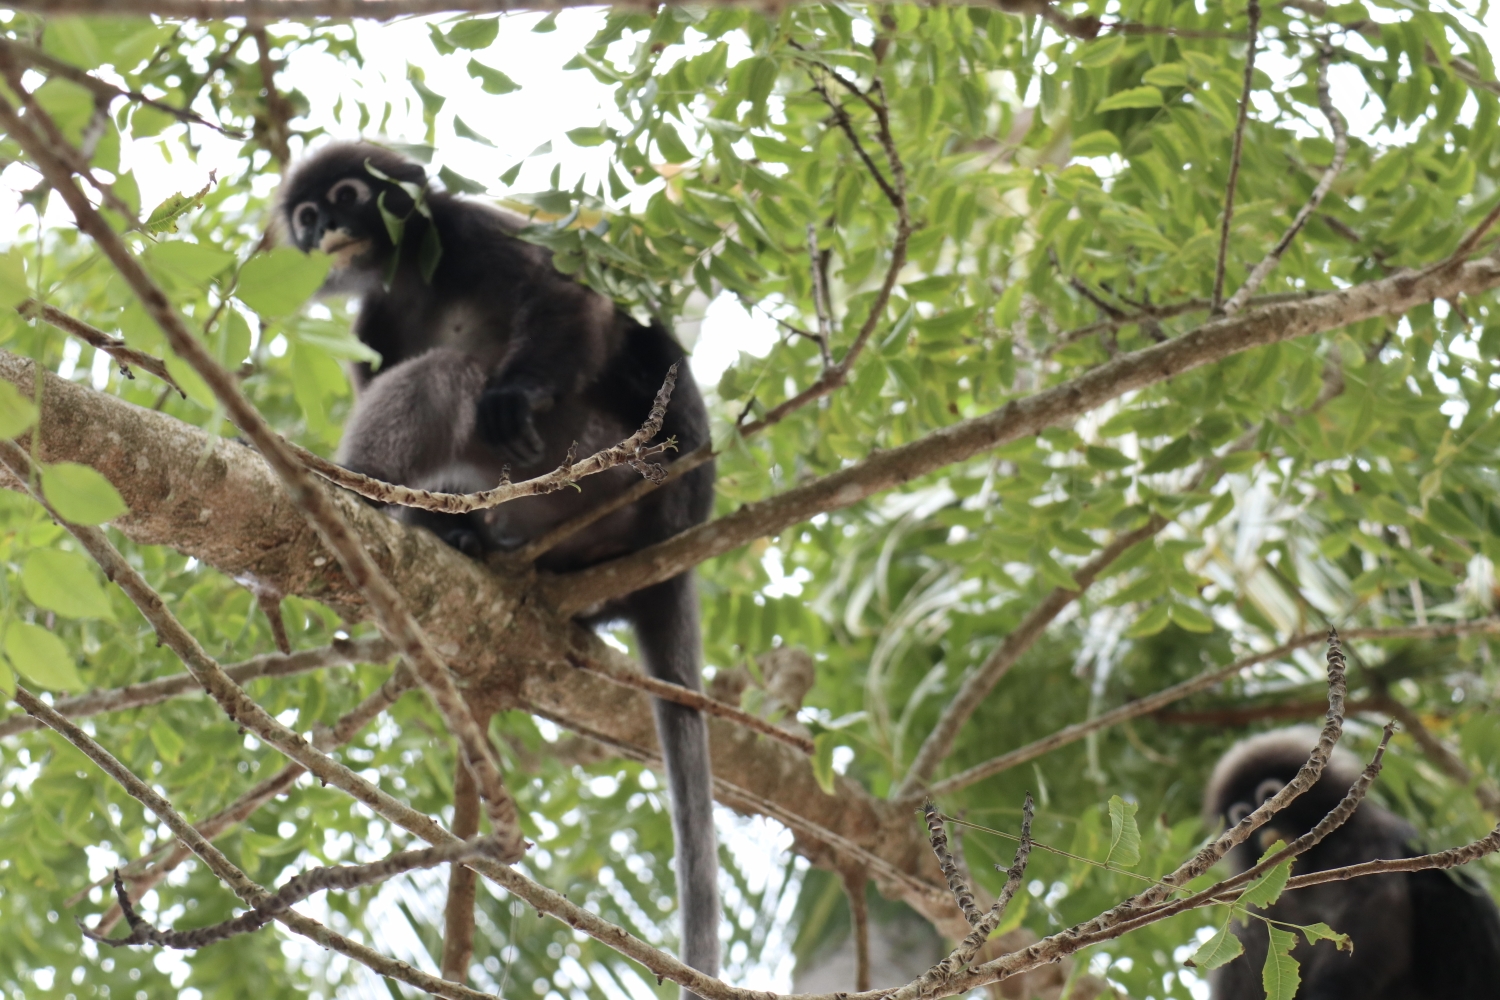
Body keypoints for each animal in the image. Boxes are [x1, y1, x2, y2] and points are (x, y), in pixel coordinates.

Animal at [282, 142, 726, 995]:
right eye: (307, 216)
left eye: (347, 196)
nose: (320, 234)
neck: (412, 272)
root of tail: (671, 552)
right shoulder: (372, 318)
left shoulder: (468, 229)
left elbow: (572, 298)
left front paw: (515, 389)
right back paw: (441, 530)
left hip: (602, 468)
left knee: (453, 373)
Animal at [1200, 728, 1500, 1000]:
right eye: (1241, 813)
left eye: (1270, 793)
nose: (1264, 822)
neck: (1311, 863)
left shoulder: (1367, 845)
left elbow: (1374, 927)